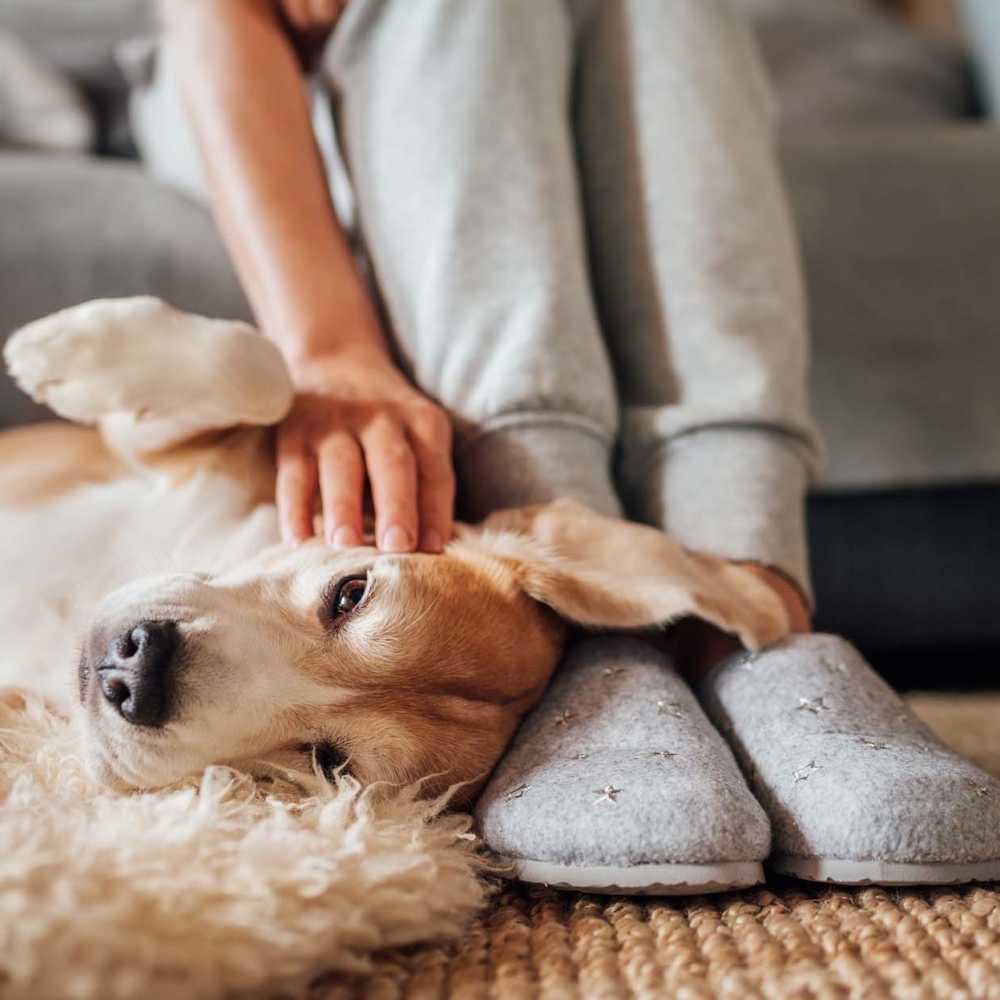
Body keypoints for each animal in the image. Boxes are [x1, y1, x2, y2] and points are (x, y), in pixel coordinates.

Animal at [0, 296, 788, 804]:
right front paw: (61, 350)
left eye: (331, 764)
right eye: (351, 593)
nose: (136, 671)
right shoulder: (166, 451)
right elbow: (262, 371)